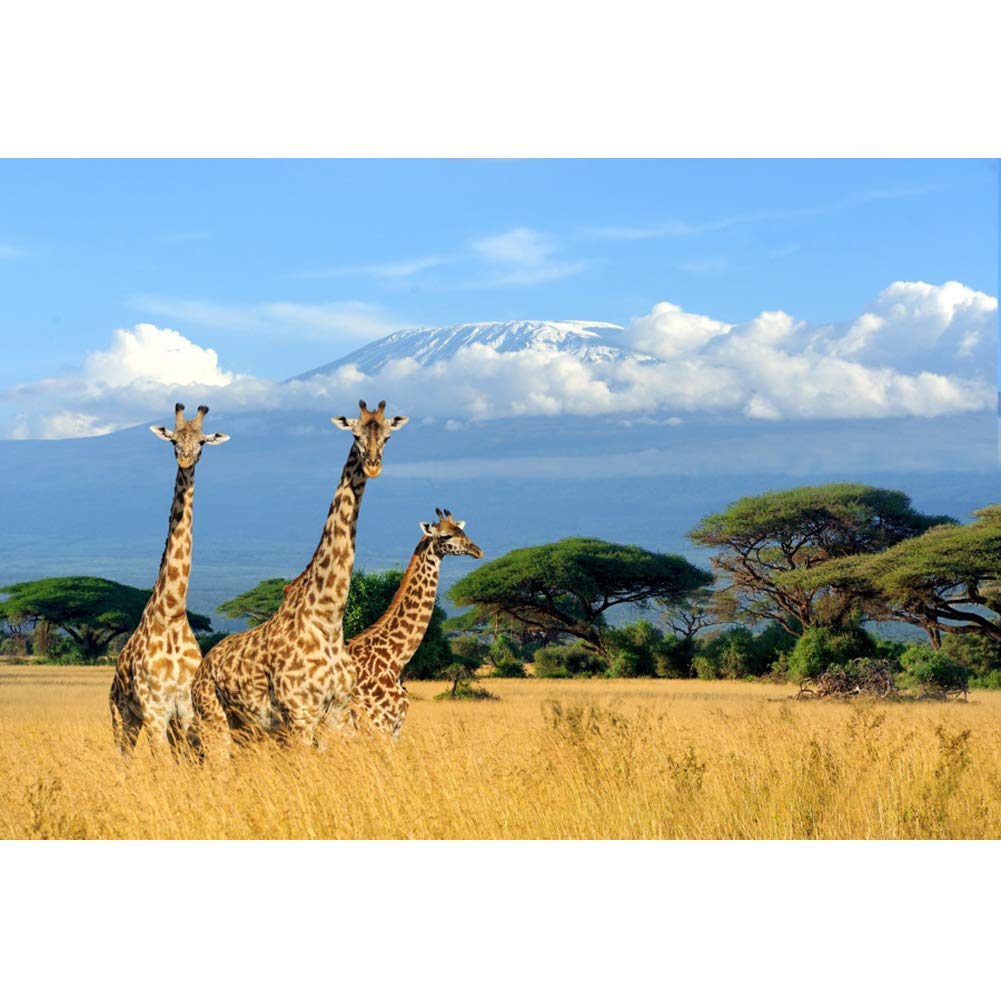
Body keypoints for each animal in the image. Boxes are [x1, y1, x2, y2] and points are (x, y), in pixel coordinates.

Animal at [109, 403, 229, 759]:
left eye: (202, 442)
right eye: (174, 440)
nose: (186, 460)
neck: (173, 613)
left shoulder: (185, 709)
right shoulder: (154, 710)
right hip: (121, 715)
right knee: (123, 757)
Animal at [190, 400, 407, 758]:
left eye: (388, 436)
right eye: (356, 434)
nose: (373, 465)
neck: (329, 620)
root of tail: (201, 668)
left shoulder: (336, 713)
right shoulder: (300, 714)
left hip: (246, 729)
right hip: (213, 719)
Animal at [337, 508, 483, 739]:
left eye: (463, 531)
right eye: (446, 536)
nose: (478, 551)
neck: (394, 660)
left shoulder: (394, 729)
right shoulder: (381, 725)